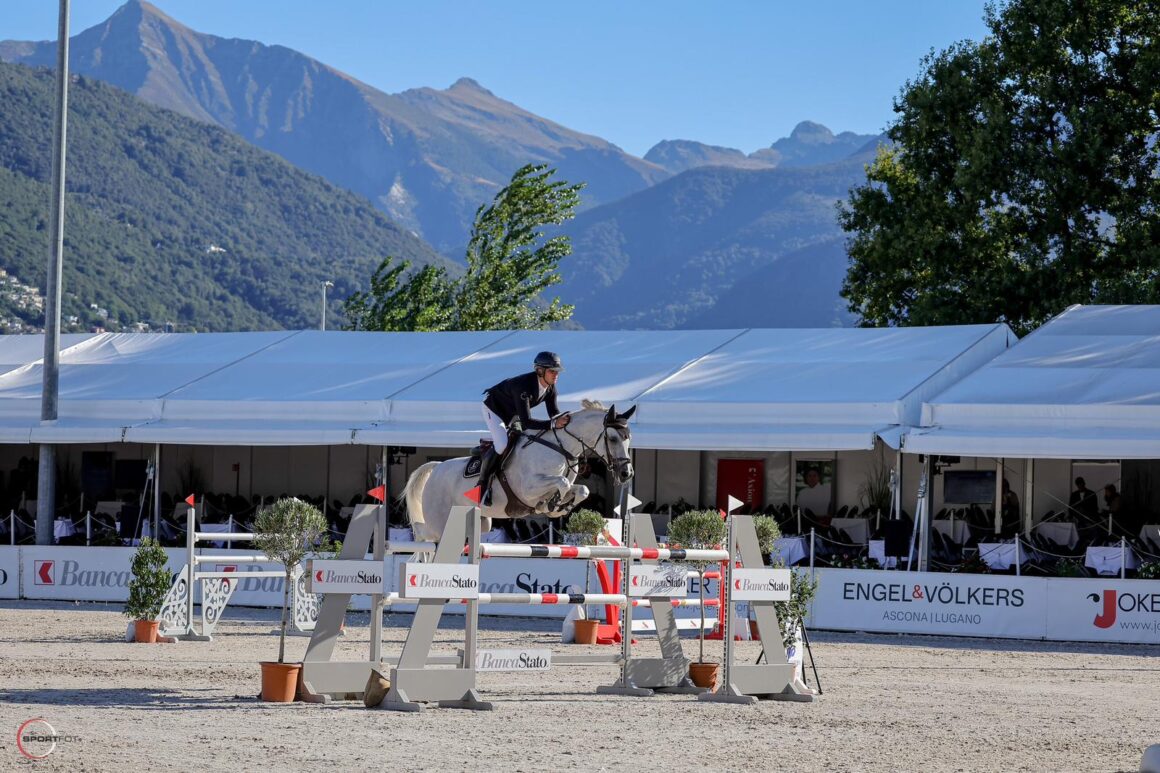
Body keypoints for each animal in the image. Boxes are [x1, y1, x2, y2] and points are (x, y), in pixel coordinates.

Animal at [399, 399, 635, 538]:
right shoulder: (528, 489)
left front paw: (560, 506)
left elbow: (581, 489)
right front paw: (552, 504)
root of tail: (436, 468)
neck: (559, 447)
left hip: (481, 523)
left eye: (628, 438)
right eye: (612, 438)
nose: (626, 473)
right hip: (439, 523)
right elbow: (562, 483)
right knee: (424, 534)